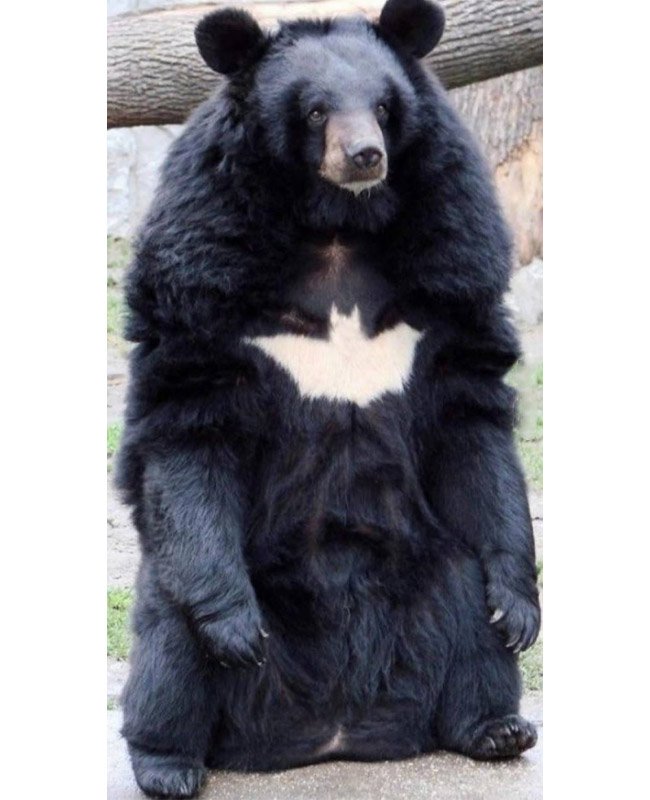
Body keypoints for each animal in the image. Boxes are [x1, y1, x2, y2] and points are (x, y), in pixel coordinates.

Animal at [116, 1, 541, 797]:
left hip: (431, 568)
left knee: (470, 613)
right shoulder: (201, 254)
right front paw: (235, 632)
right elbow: (191, 412)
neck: (338, 223)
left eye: (383, 106)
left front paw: (521, 609)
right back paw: (170, 762)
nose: (366, 157)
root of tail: (331, 731)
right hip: (181, 582)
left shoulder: (455, 249)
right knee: (169, 648)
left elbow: (469, 410)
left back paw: (496, 726)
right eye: (315, 111)